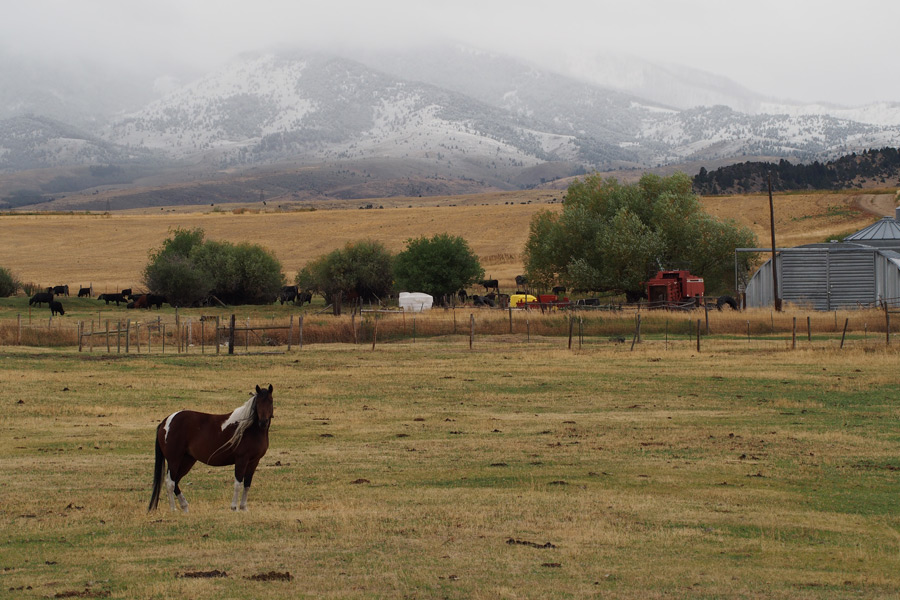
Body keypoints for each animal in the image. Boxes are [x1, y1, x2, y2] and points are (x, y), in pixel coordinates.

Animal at [148, 384, 276, 510]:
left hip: (187, 460)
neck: (248, 429)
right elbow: (238, 483)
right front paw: (234, 507)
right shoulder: (241, 460)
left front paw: (244, 508)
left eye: (270, 401)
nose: (263, 422)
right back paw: (173, 510)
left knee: (176, 482)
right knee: (170, 482)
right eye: (258, 403)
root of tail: (165, 422)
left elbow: (247, 484)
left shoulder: (254, 461)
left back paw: (185, 507)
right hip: (174, 459)